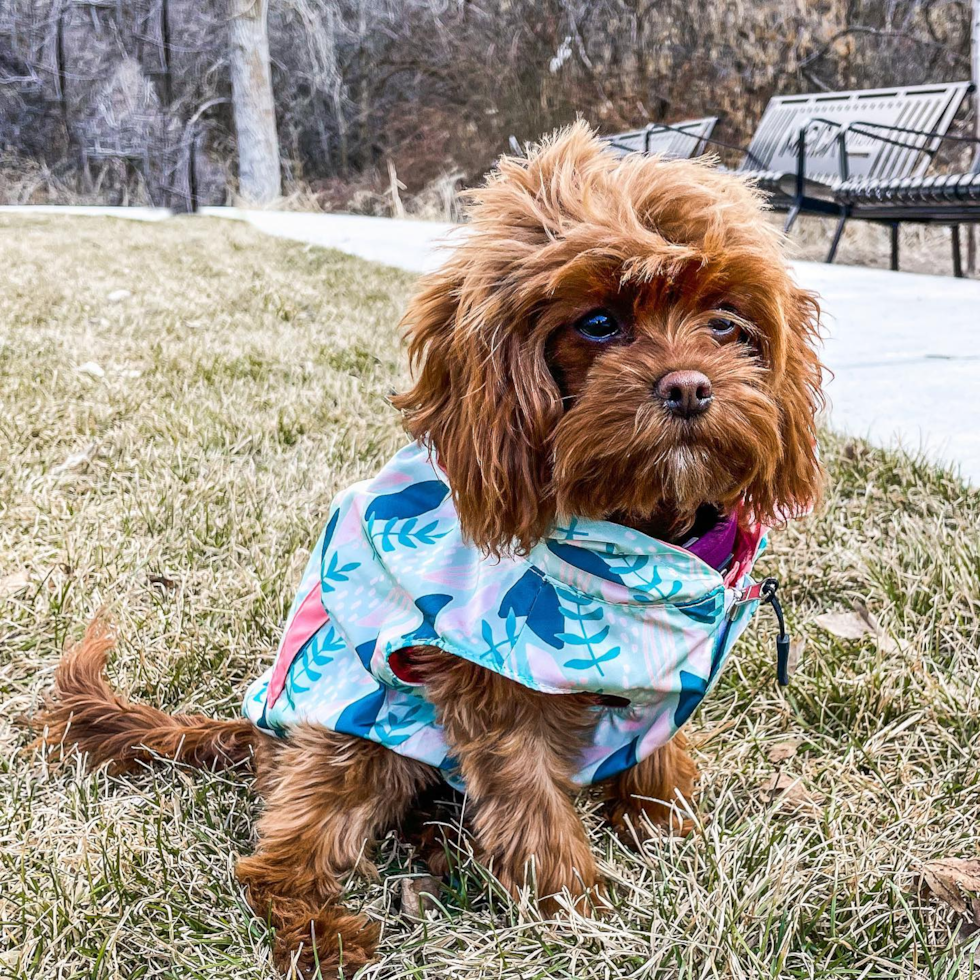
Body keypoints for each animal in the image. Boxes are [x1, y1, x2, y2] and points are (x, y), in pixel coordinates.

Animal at [34, 126, 824, 976]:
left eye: (726, 322)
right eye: (599, 324)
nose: (688, 387)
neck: (640, 542)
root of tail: (262, 734)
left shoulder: (667, 676)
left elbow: (655, 757)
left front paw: (663, 828)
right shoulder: (490, 687)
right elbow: (532, 803)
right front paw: (577, 912)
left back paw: (440, 845)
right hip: (358, 736)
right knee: (280, 859)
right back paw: (323, 933)